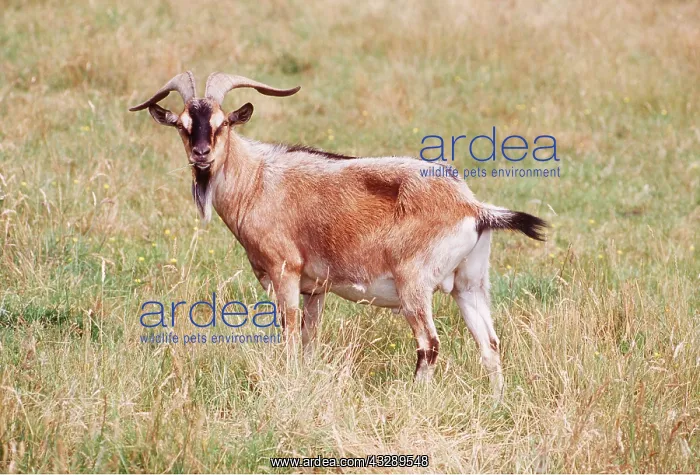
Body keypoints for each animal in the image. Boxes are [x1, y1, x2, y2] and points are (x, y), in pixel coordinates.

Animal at [129, 71, 547, 398]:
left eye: (222, 123)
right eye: (183, 125)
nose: (201, 155)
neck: (258, 181)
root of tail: (473, 208)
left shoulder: (284, 272)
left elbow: (289, 334)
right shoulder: (315, 289)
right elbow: (309, 340)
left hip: (414, 286)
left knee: (429, 344)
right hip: (469, 285)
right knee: (489, 344)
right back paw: (495, 403)